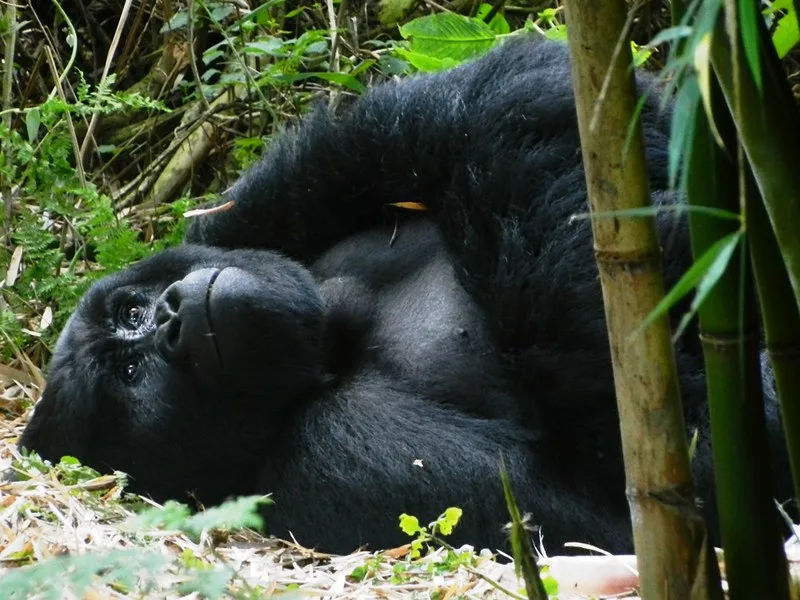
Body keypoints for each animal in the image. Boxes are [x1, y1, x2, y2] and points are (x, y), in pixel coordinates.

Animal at [18, 35, 792, 556]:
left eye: (132, 313)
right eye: (132, 374)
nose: (173, 316)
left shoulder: (244, 213)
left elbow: (490, 99)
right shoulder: (339, 461)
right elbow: (647, 483)